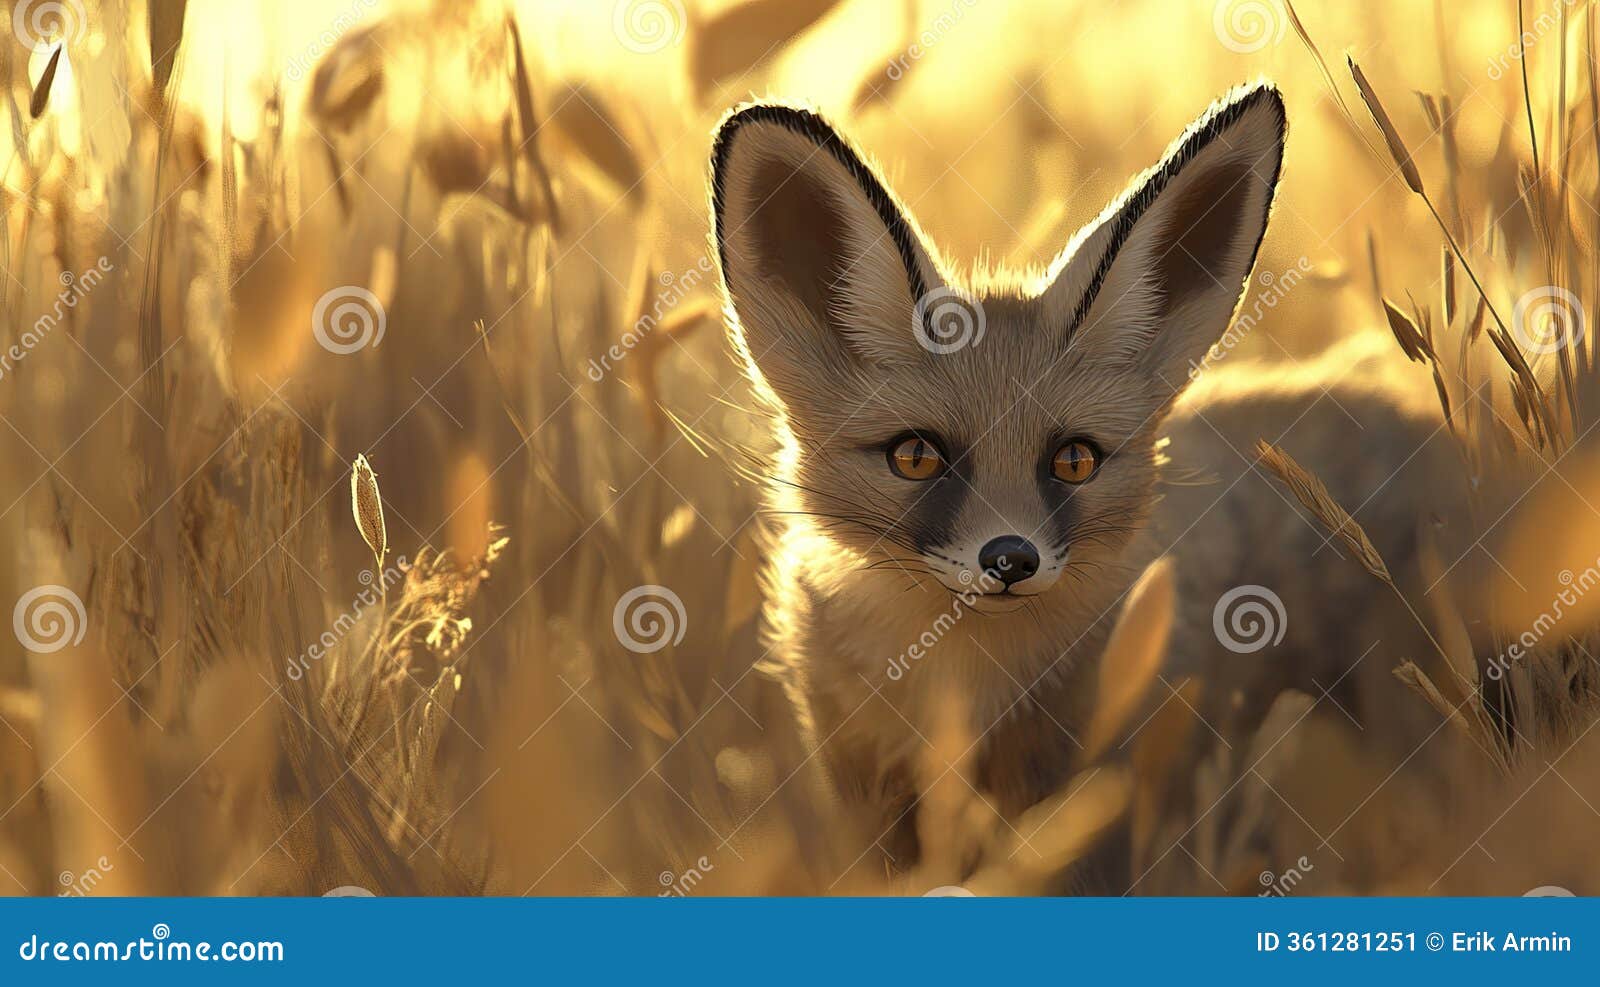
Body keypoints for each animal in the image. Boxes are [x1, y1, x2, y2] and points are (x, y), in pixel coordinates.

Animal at [709, 83, 1468, 882]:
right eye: (916, 456)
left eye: (1073, 460)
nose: (1010, 559)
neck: (966, 684)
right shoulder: (868, 787)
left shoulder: (1109, 783)